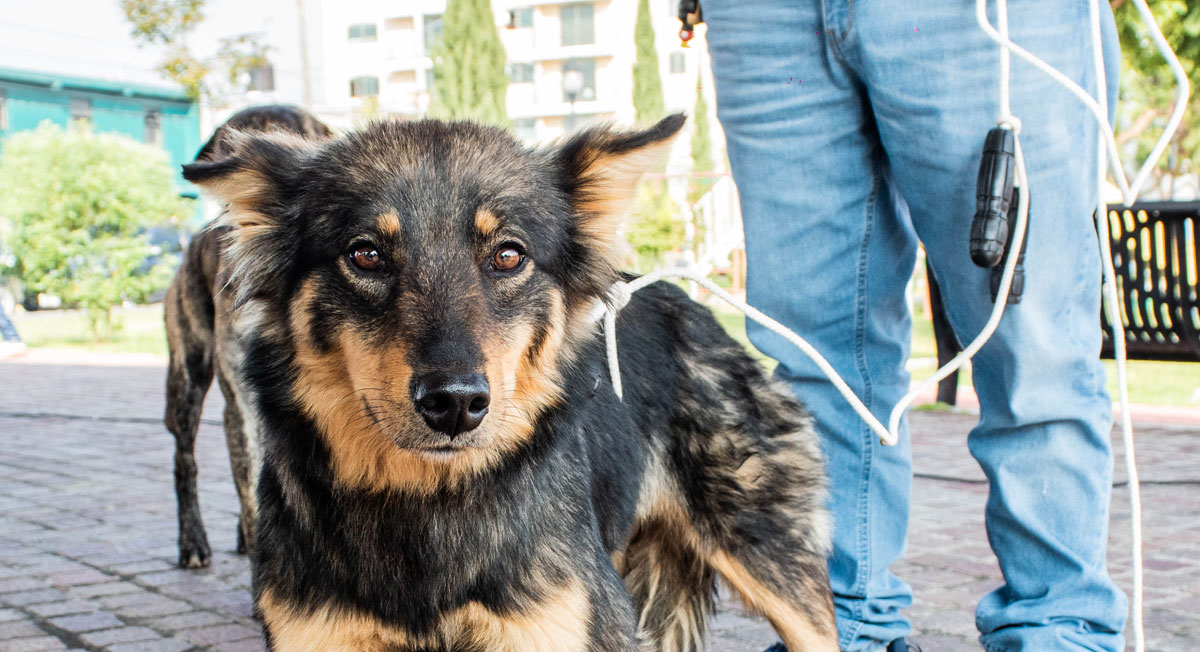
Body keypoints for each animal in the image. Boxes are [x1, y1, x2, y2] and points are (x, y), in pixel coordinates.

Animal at [182, 114, 840, 648]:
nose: (455, 403)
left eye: (508, 255)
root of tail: (692, 306)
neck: (428, 505)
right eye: (365, 254)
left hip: (771, 559)